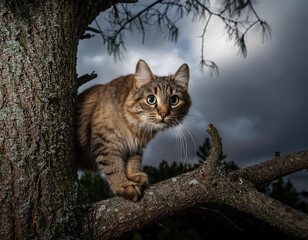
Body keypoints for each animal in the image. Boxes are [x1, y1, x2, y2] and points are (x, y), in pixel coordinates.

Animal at [75, 59, 190, 201]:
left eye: (174, 100)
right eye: (151, 99)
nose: (163, 114)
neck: (136, 128)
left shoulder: (135, 147)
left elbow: (133, 162)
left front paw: (133, 176)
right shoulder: (106, 142)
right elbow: (113, 166)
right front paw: (123, 185)